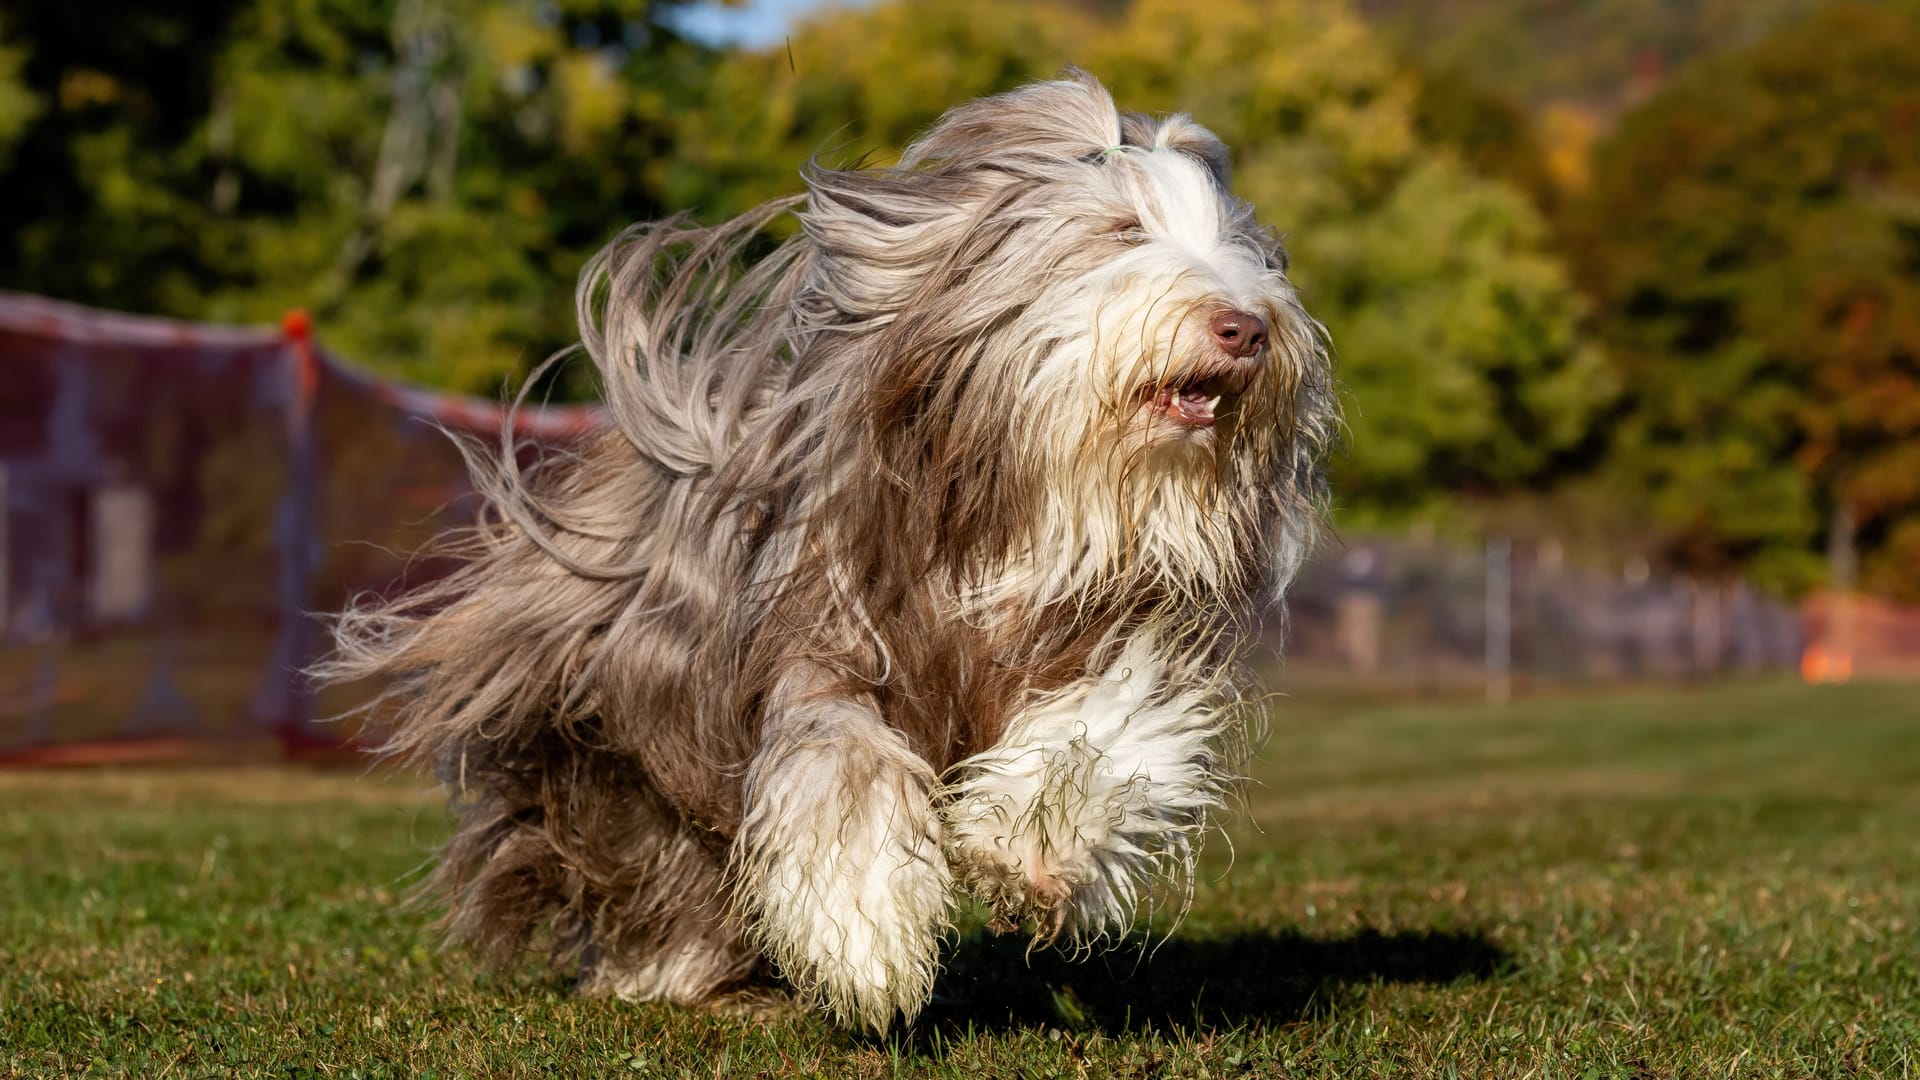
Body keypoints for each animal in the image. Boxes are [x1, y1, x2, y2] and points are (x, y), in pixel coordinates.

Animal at [326, 71, 1336, 1030]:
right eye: (1123, 231)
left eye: (1246, 252)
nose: (1247, 327)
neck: (1043, 494)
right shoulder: (823, 628)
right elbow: (841, 764)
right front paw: (869, 942)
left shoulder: (1120, 634)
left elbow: (1103, 733)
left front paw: (1030, 852)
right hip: (618, 746)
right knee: (652, 865)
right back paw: (670, 974)